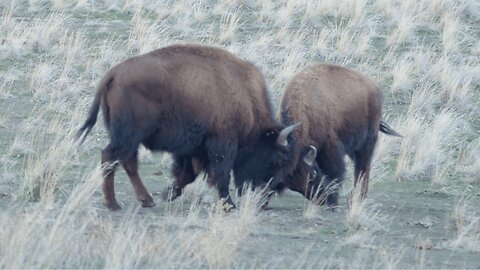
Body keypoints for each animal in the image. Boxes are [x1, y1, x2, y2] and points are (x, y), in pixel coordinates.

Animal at [76, 43, 298, 211]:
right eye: (276, 159)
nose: (266, 197)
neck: (243, 95)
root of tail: (114, 74)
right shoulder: (222, 143)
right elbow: (221, 173)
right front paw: (229, 205)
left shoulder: (194, 149)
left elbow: (188, 175)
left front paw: (169, 193)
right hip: (128, 135)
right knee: (110, 157)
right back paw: (113, 204)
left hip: (131, 138)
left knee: (127, 162)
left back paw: (146, 200)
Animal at [274, 63, 402, 207]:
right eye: (294, 186)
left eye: (313, 174)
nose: (320, 199)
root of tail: (374, 88)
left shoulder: (331, 148)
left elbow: (335, 173)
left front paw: (333, 201)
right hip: (354, 148)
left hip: (368, 141)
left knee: (363, 167)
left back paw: (358, 196)